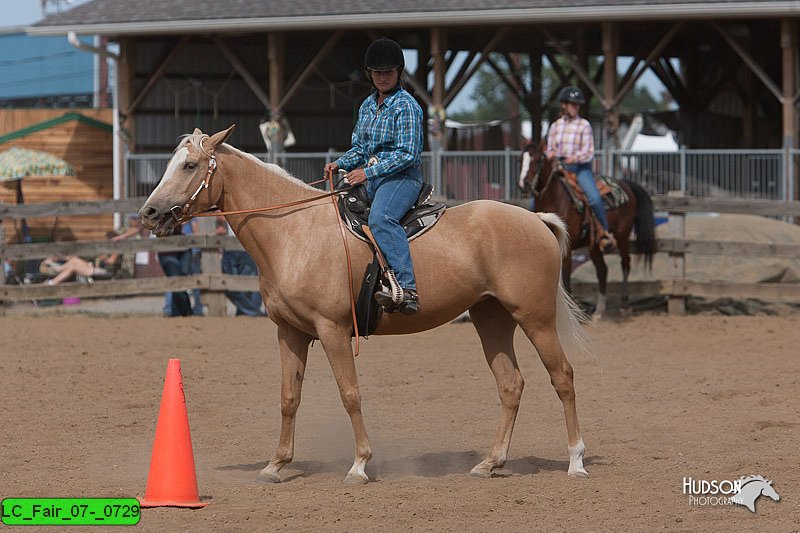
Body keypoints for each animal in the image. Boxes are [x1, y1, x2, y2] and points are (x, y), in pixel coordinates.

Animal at [138, 127, 592, 484]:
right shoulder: (290, 332)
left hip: (536, 319)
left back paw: (575, 461)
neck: (293, 231)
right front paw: (276, 465)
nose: (150, 212)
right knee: (510, 384)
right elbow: (288, 396)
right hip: (491, 319)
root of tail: (536, 220)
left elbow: (350, 393)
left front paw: (359, 465)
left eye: (190, 165)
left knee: (564, 377)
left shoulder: (333, 329)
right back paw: (491, 463)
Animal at [520, 139, 656, 318]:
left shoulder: (567, 247)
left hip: (622, 235)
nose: (524, 185)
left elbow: (566, 272)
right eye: (520, 160)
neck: (554, 198)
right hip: (594, 245)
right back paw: (599, 310)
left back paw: (625, 305)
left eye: (537, 160)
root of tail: (626, 184)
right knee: (603, 270)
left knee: (625, 263)